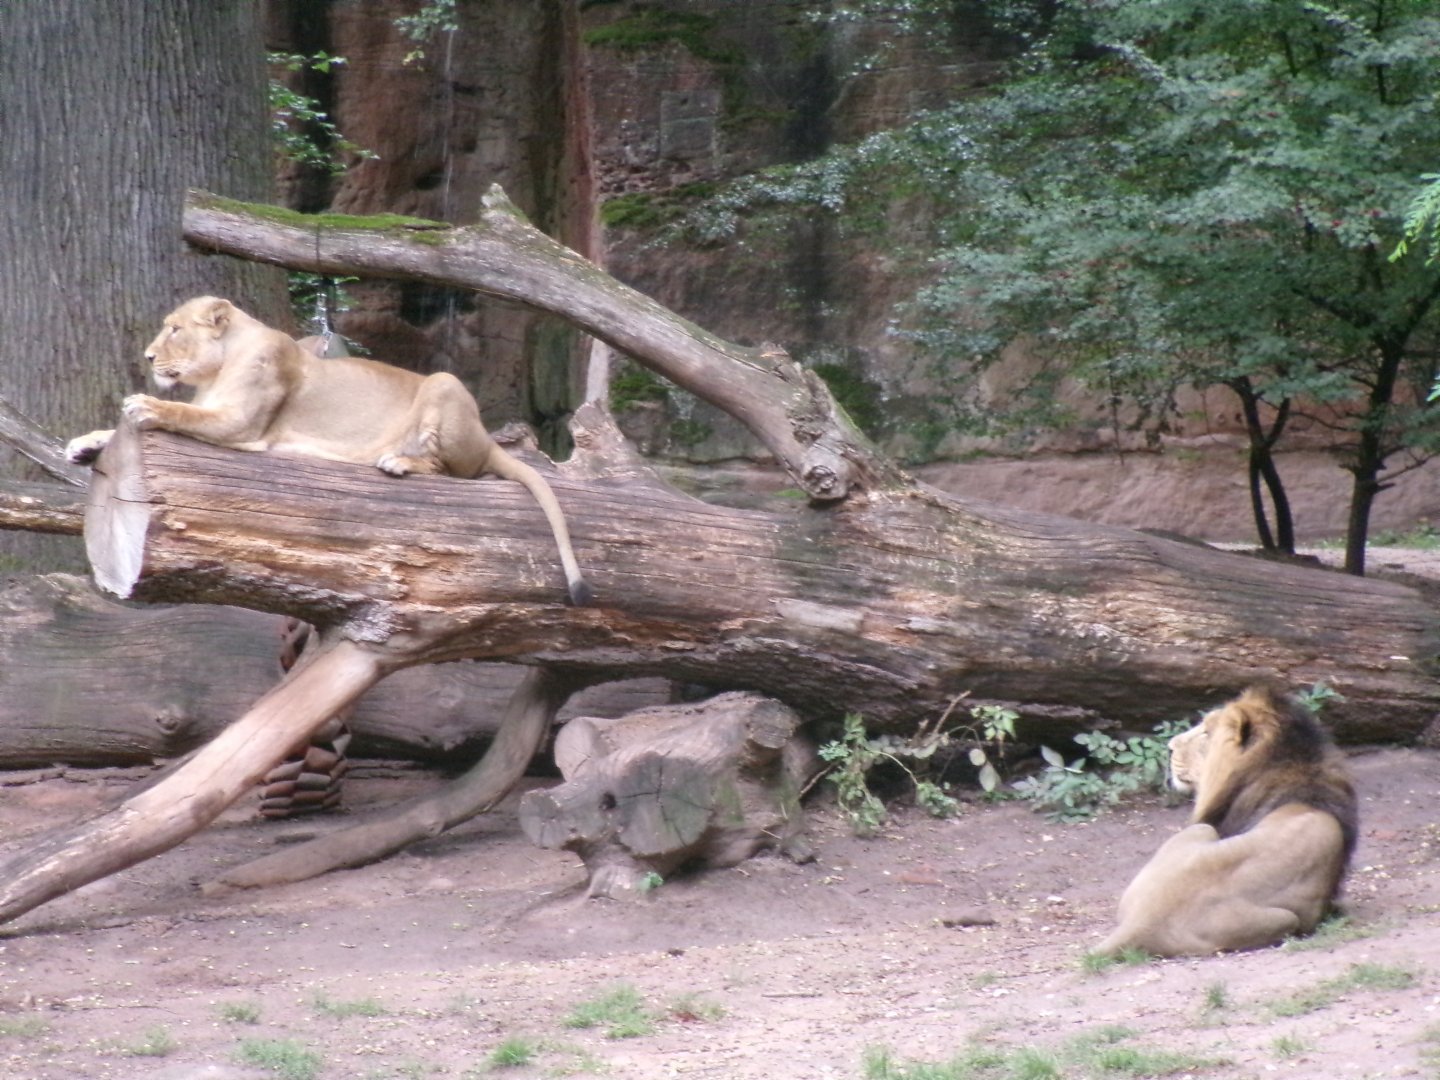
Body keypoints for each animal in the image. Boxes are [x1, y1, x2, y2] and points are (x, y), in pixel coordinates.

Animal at [66, 296, 591, 605]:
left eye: (174, 329)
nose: (149, 357)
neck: (218, 367)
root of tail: (486, 436)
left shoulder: (242, 424)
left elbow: (181, 413)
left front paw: (144, 404)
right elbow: (119, 429)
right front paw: (84, 444)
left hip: (445, 385)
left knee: (457, 472)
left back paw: (398, 460)